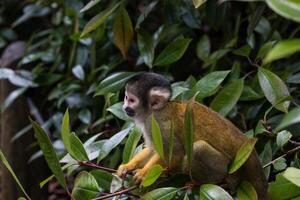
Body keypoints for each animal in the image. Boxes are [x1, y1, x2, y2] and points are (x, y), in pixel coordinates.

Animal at [116, 72, 268, 199]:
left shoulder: (159, 124)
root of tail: (244, 143)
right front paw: (128, 166)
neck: (153, 111)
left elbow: (175, 152)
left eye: (131, 100)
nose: (124, 107)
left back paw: (209, 180)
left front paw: (144, 173)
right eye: (126, 97)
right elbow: (153, 150)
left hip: (228, 168)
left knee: (197, 149)